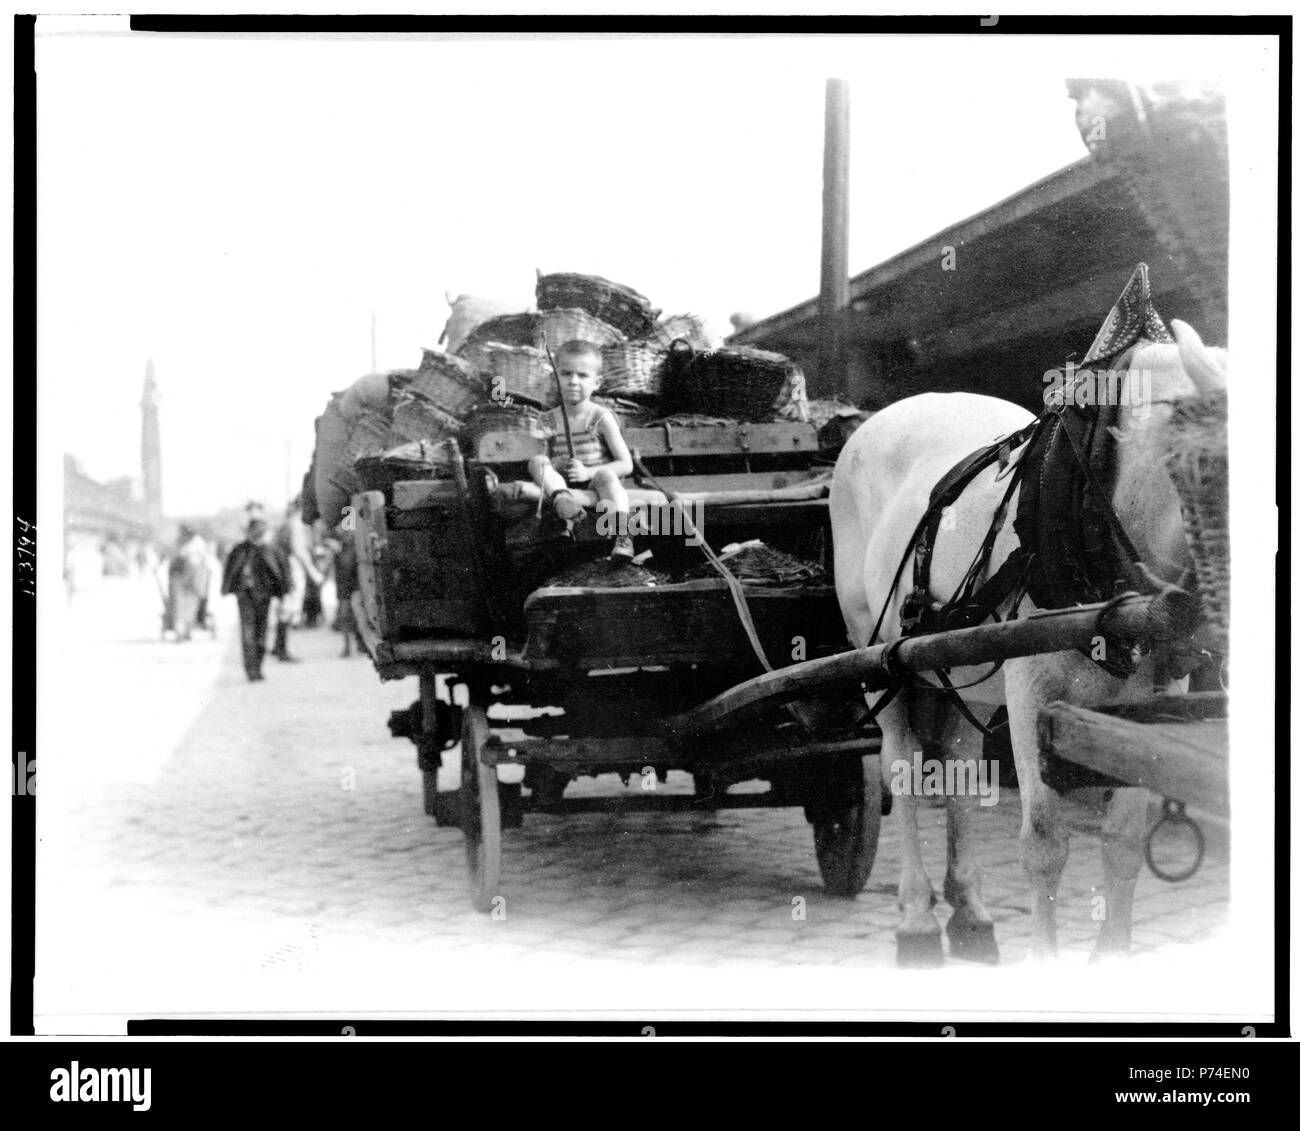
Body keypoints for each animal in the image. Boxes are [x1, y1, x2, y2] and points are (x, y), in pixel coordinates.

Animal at [832, 318, 1227, 967]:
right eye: (1210, 471)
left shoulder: (1154, 693)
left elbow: (1123, 839)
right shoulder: (1030, 687)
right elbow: (1044, 841)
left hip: (962, 663)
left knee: (961, 763)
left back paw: (970, 913)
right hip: (877, 659)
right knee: (902, 770)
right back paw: (917, 920)